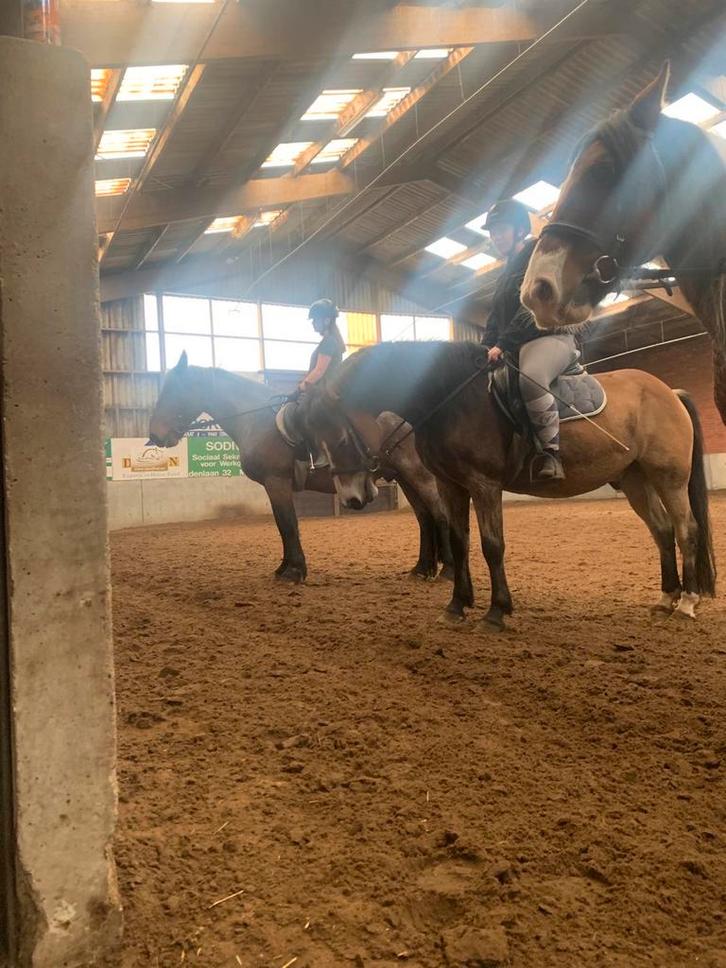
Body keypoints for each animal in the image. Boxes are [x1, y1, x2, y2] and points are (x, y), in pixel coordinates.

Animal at [147, 352, 453, 584]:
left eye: (173, 391)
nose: (155, 436)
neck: (256, 420)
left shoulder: (277, 482)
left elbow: (288, 524)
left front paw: (294, 572)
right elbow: (283, 525)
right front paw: (285, 568)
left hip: (417, 474)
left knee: (439, 513)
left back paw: (447, 571)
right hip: (404, 477)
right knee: (425, 517)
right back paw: (421, 570)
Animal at [299, 340, 716, 629]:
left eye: (339, 437)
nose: (353, 498)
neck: (450, 399)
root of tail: (669, 392)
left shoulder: (484, 485)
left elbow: (492, 545)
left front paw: (497, 611)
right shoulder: (451, 486)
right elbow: (460, 543)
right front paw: (456, 606)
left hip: (669, 478)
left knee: (686, 530)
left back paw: (687, 602)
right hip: (635, 480)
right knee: (662, 531)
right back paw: (666, 598)